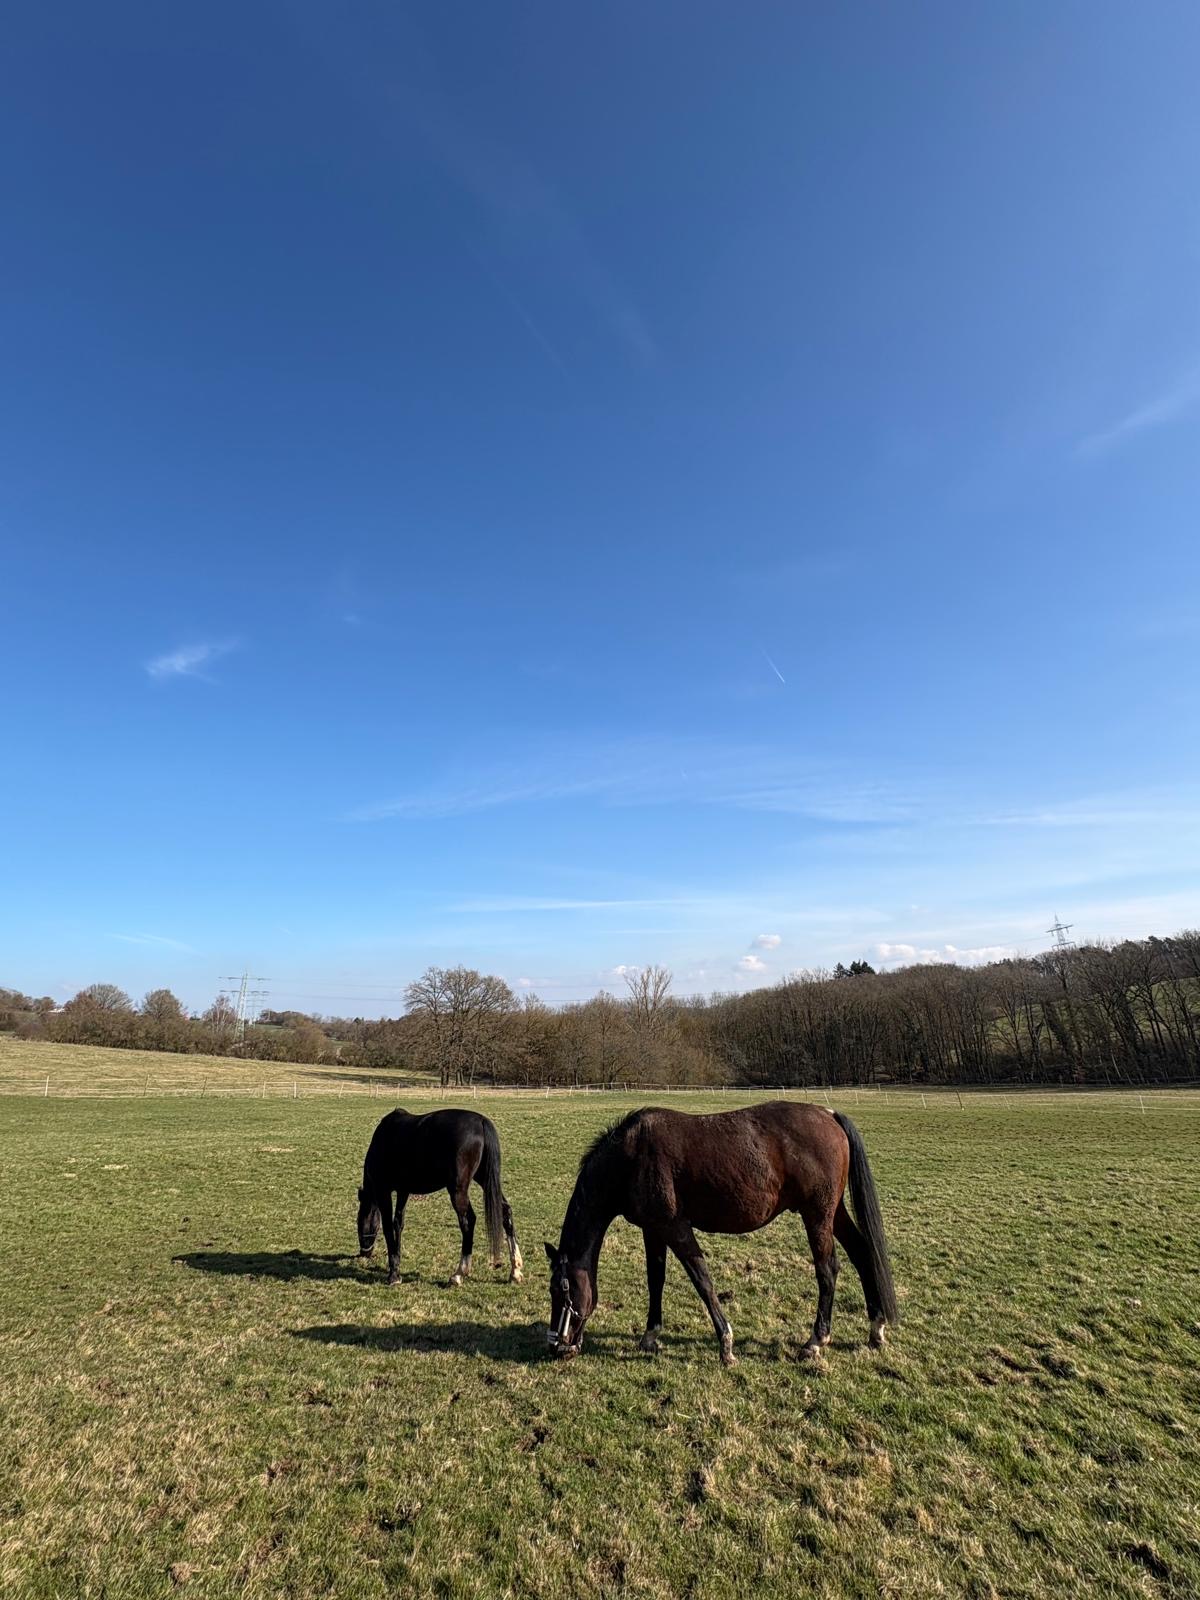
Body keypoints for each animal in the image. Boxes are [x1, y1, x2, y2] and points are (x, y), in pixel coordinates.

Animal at [357, 1108, 523, 1287]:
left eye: (359, 1222)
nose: (364, 1253)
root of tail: (481, 1121)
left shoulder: (383, 1191)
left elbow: (388, 1227)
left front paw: (393, 1275)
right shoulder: (403, 1191)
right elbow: (398, 1224)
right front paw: (397, 1265)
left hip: (458, 1190)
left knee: (468, 1222)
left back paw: (458, 1274)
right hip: (485, 1179)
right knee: (505, 1211)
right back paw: (515, 1270)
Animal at [544, 1101, 898, 1365]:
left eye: (559, 1290)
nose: (557, 1346)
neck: (631, 1158)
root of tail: (829, 1115)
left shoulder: (675, 1227)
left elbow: (702, 1280)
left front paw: (726, 1344)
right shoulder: (653, 1230)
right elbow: (655, 1279)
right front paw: (650, 1336)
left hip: (817, 1216)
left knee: (827, 1270)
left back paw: (816, 1340)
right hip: (833, 1213)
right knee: (862, 1253)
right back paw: (876, 1328)